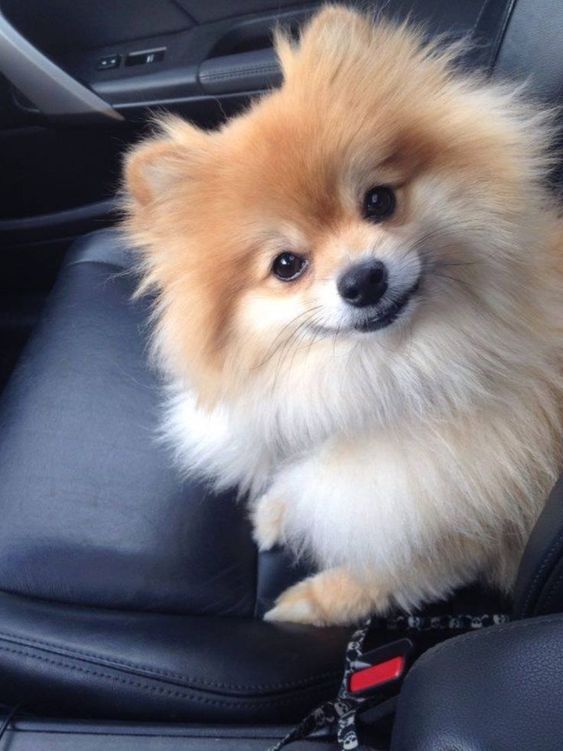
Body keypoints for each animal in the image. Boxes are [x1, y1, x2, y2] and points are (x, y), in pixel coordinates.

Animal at [124, 4, 563, 628]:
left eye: (379, 200)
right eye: (287, 265)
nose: (363, 279)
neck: (387, 375)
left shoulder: (456, 522)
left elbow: (378, 576)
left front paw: (306, 604)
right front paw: (275, 511)